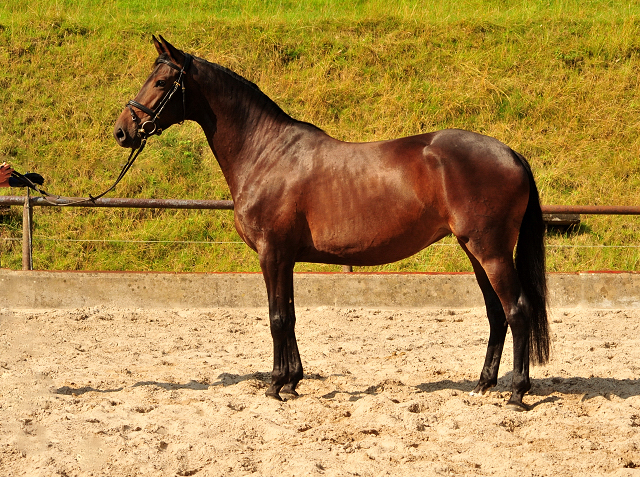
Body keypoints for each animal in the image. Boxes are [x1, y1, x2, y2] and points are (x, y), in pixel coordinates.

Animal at [111, 36, 552, 410]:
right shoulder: (285, 257)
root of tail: (512, 153)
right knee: (496, 314)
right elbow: (288, 315)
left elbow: (276, 317)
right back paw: (483, 384)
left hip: (492, 252)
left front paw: (276, 385)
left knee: (517, 311)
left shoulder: (272, 253)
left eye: (162, 81)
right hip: (476, 251)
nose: (123, 131)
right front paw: (292, 381)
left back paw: (517, 393)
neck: (266, 152)